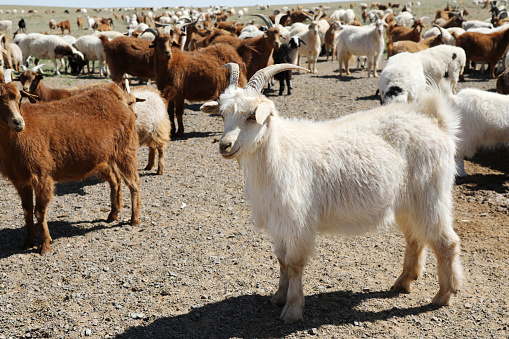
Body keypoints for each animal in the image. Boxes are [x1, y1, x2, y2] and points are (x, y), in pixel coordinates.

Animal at [0, 73, 140, 256]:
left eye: (18, 99)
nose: (18, 122)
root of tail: (117, 98)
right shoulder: (20, 179)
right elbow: (26, 210)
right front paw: (28, 242)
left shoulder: (42, 176)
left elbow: (39, 212)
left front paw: (45, 245)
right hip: (106, 157)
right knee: (115, 180)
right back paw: (112, 214)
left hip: (126, 150)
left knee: (134, 183)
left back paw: (134, 219)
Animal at [200, 63, 462, 324]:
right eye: (222, 115)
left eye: (251, 116)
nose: (224, 145)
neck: (280, 151)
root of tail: (437, 122)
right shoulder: (279, 222)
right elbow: (282, 261)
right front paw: (279, 297)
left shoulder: (298, 222)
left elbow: (294, 265)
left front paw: (292, 310)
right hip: (407, 204)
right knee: (415, 239)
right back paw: (404, 282)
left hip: (431, 195)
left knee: (446, 242)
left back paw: (443, 295)